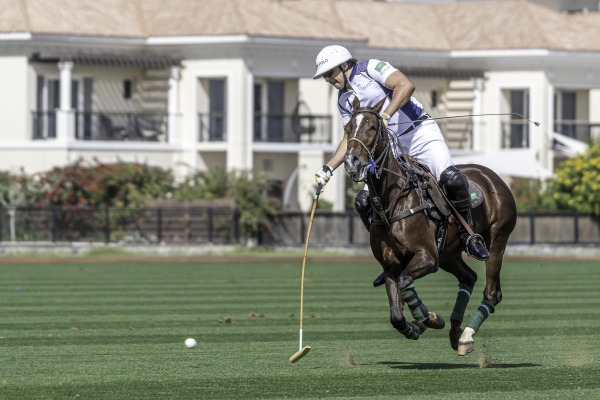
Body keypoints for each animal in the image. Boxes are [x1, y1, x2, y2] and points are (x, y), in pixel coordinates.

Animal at [344, 97, 516, 356]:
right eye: (347, 129)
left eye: (373, 127)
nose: (352, 162)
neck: (392, 202)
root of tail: (493, 177)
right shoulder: (390, 267)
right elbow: (396, 315)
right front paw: (419, 324)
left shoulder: (427, 256)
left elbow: (406, 282)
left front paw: (430, 318)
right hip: (448, 254)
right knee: (469, 278)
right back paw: (455, 332)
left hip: (496, 241)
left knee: (492, 292)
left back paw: (466, 335)